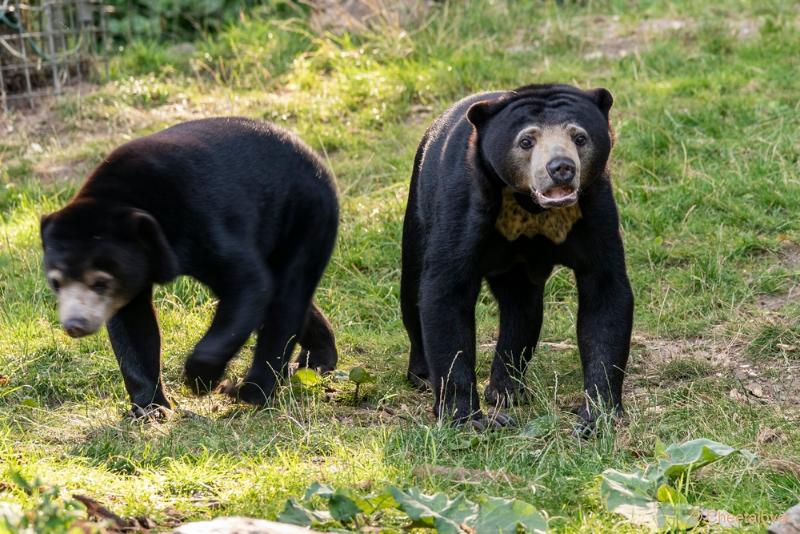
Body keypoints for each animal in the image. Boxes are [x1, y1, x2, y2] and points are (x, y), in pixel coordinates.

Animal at [39, 118, 340, 418]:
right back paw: (313, 361)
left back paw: (253, 390)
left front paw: (200, 380)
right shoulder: (133, 274)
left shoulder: (201, 217)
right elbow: (133, 326)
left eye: (100, 282)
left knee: (287, 294)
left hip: (306, 215)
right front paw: (149, 409)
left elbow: (249, 282)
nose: (75, 325)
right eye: (56, 282)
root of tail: (313, 156)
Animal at [404, 85, 636, 436]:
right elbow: (445, 293)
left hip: (517, 272)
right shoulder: (463, 206)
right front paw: (469, 418)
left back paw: (507, 390)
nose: (561, 168)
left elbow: (605, 293)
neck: (531, 207)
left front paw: (597, 415)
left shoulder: (594, 209)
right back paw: (422, 375)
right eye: (526, 141)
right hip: (418, 207)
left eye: (579, 137)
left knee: (522, 308)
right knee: (411, 286)